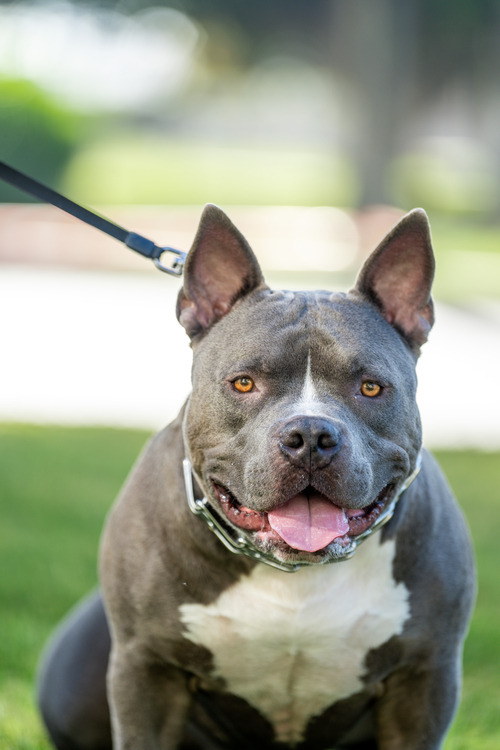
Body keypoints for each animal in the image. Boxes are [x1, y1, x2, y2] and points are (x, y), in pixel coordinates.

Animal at [39, 206, 476, 750]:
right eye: (243, 383)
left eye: (372, 387)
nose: (310, 435)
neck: (295, 573)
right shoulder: (147, 669)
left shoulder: (424, 678)